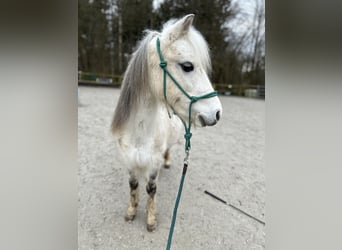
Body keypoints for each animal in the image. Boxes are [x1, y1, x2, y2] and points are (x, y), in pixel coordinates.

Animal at [112, 14, 222, 231]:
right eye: (187, 66)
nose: (216, 113)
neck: (139, 132)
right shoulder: (129, 160)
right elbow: (133, 186)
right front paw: (131, 212)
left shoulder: (153, 164)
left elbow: (151, 188)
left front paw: (151, 220)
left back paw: (168, 162)